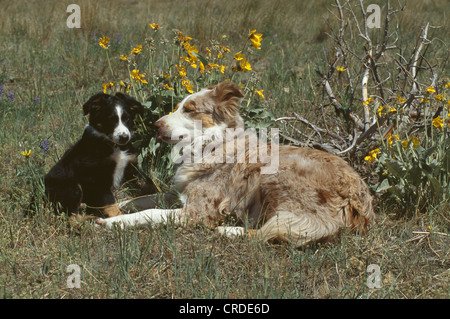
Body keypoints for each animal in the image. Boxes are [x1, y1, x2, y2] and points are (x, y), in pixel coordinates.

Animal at [44, 91, 143, 219]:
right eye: (110, 120)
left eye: (128, 119)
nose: (124, 137)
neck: (113, 146)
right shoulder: (96, 178)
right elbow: (109, 202)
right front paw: (119, 217)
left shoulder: (132, 166)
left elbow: (147, 184)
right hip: (71, 187)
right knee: (70, 216)